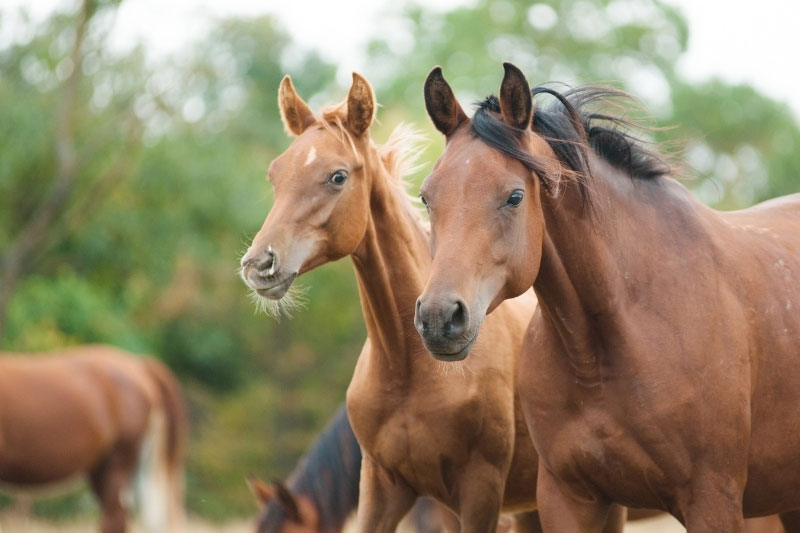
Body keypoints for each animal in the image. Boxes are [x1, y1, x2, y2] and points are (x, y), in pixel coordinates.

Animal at [238, 72, 609, 532]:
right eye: (275, 175)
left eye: (338, 177)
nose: (259, 264)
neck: (409, 371)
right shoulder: (383, 487)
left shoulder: (478, 493)